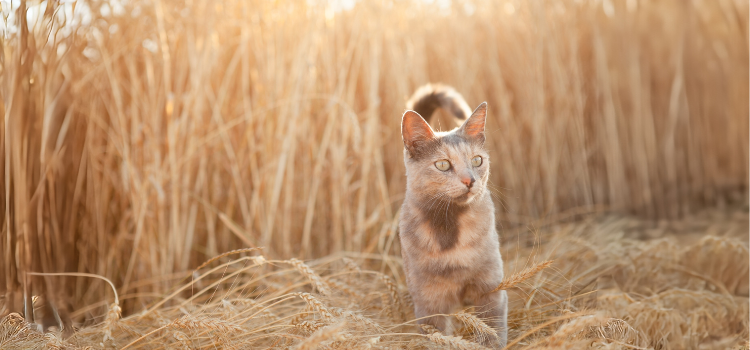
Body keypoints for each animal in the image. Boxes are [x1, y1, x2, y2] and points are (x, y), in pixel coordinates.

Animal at [396, 84, 508, 348]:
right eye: (443, 165)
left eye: (477, 160)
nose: (470, 180)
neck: (450, 225)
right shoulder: (429, 301)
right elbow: (437, 335)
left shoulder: (490, 288)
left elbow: (491, 328)